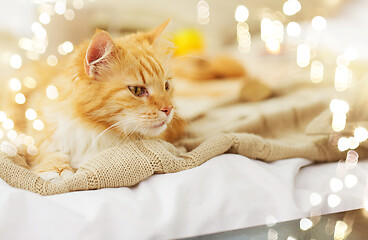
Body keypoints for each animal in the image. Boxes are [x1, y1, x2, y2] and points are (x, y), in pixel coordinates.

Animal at [20, 19, 184, 182]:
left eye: (166, 86)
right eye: (137, 90)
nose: (169, 109)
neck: (93, 129)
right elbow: (49, 152)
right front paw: (56, 171)